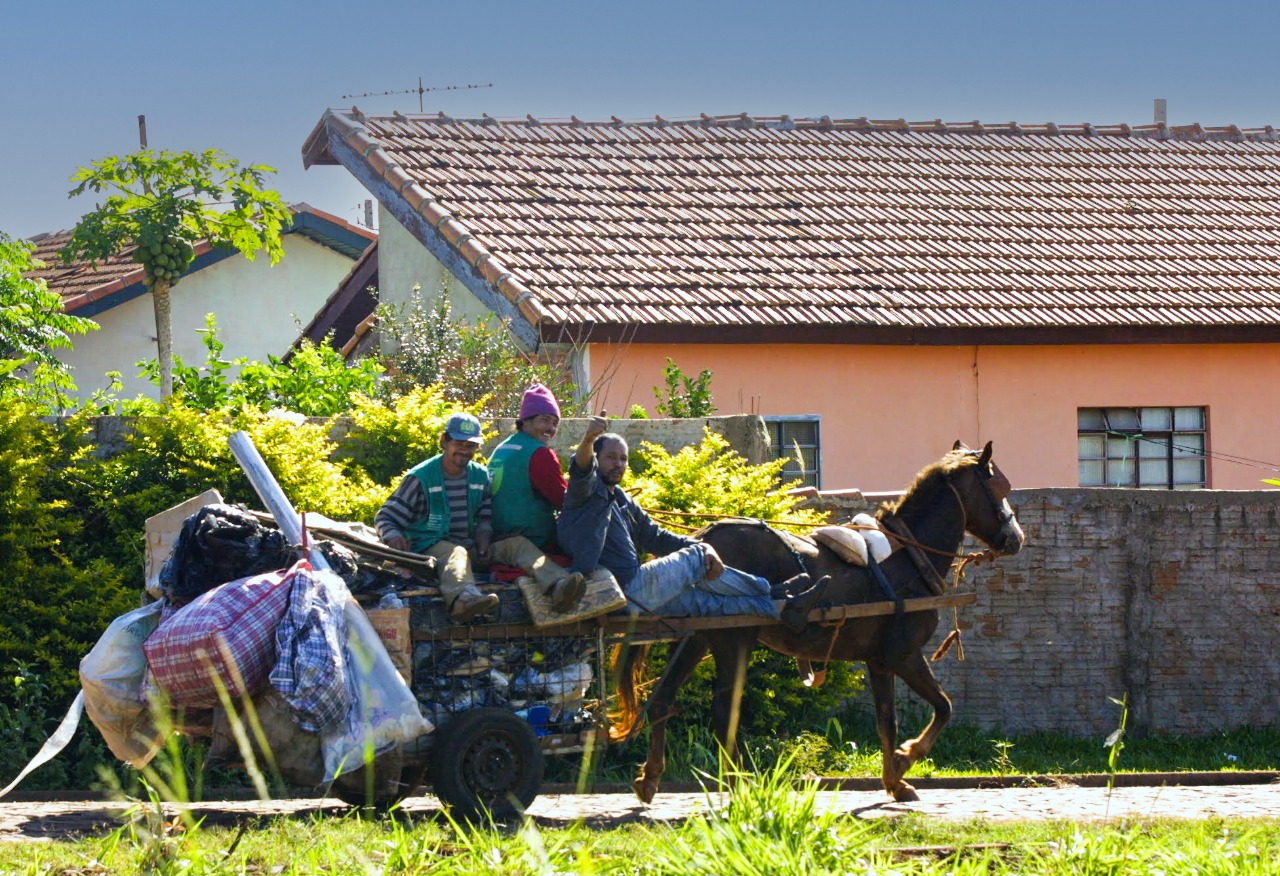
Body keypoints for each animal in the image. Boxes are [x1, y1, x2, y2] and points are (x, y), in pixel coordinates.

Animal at [611, 440, 1029, 804]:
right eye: (999, 486)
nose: (1015, 538)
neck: (908, 556)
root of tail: (704, 538)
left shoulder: (879, 661)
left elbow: (887, 722)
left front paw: (895, 781)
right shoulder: (903, 655)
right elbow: (944, 707)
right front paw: (906, 758)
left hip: (699, 638)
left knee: (662, 701)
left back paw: (650, 779)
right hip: (734, 640)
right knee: (723, 714)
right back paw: (741, 785)